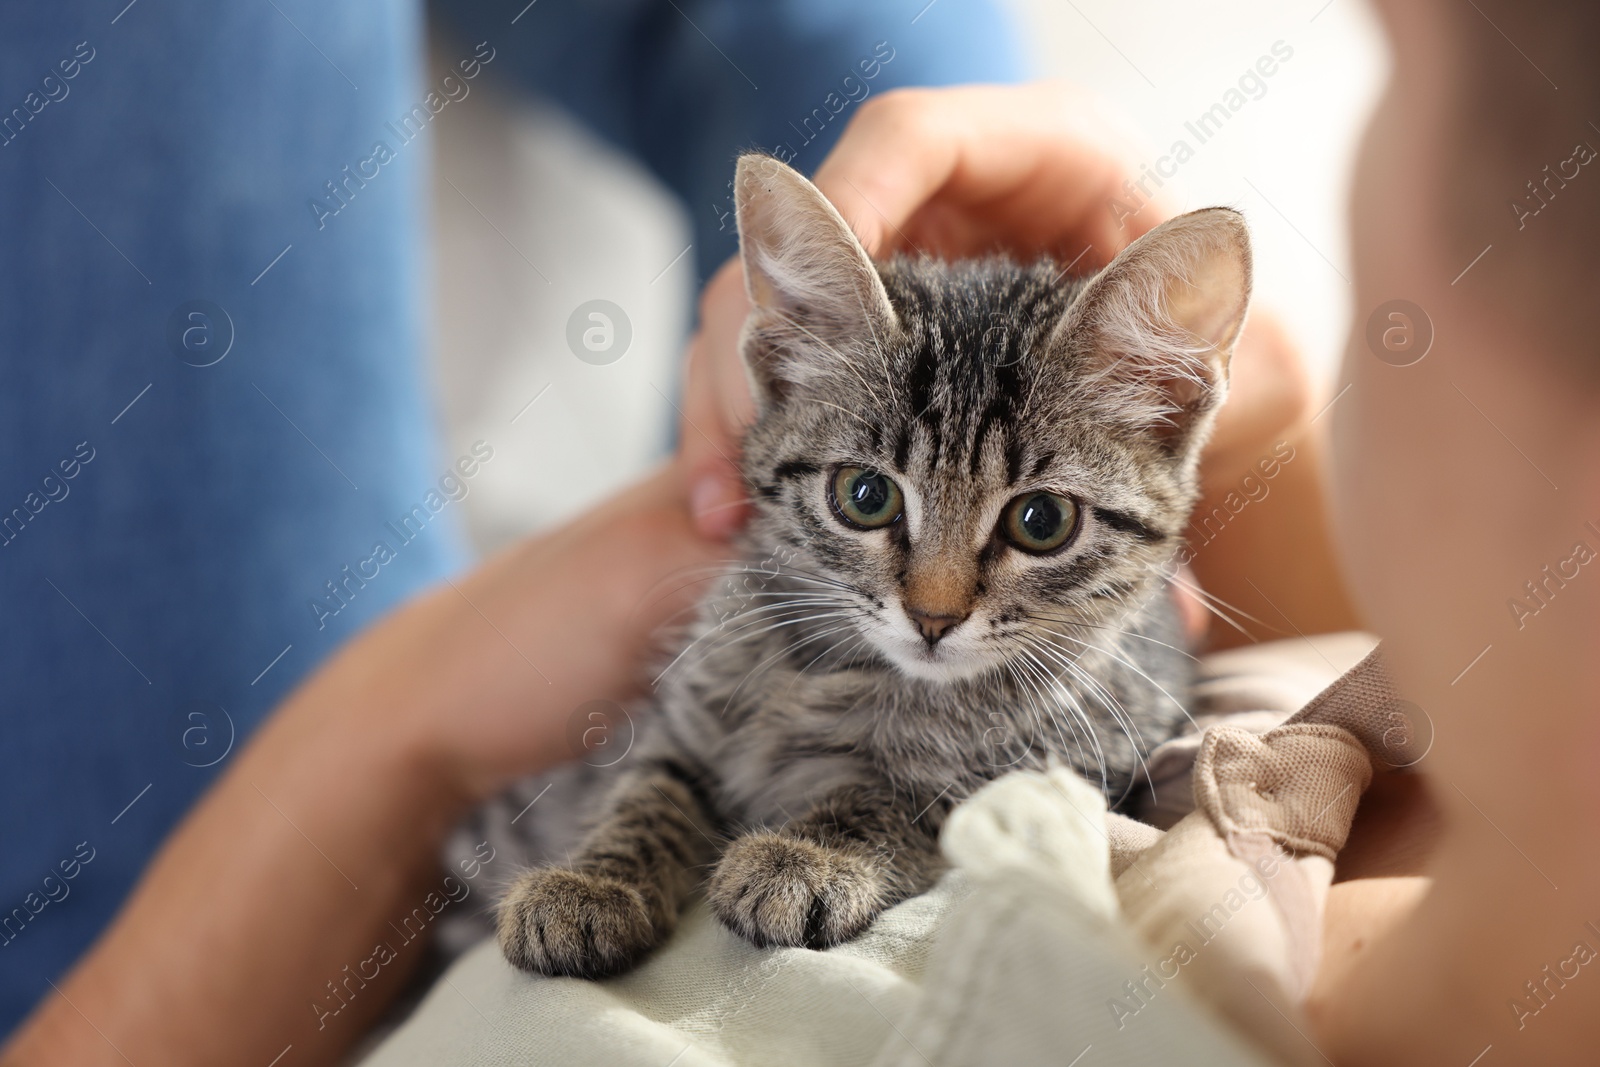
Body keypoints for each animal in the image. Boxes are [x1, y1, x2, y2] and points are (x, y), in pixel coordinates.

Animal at [496, 154, 1248, 979]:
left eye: (1042, 521)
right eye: (865, 495)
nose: (933, 617)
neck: (849, 674)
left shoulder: (1071, 762)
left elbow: (907, 798)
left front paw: (804, 857)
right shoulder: (682, 713)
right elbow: (647, 785)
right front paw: (590, 882)